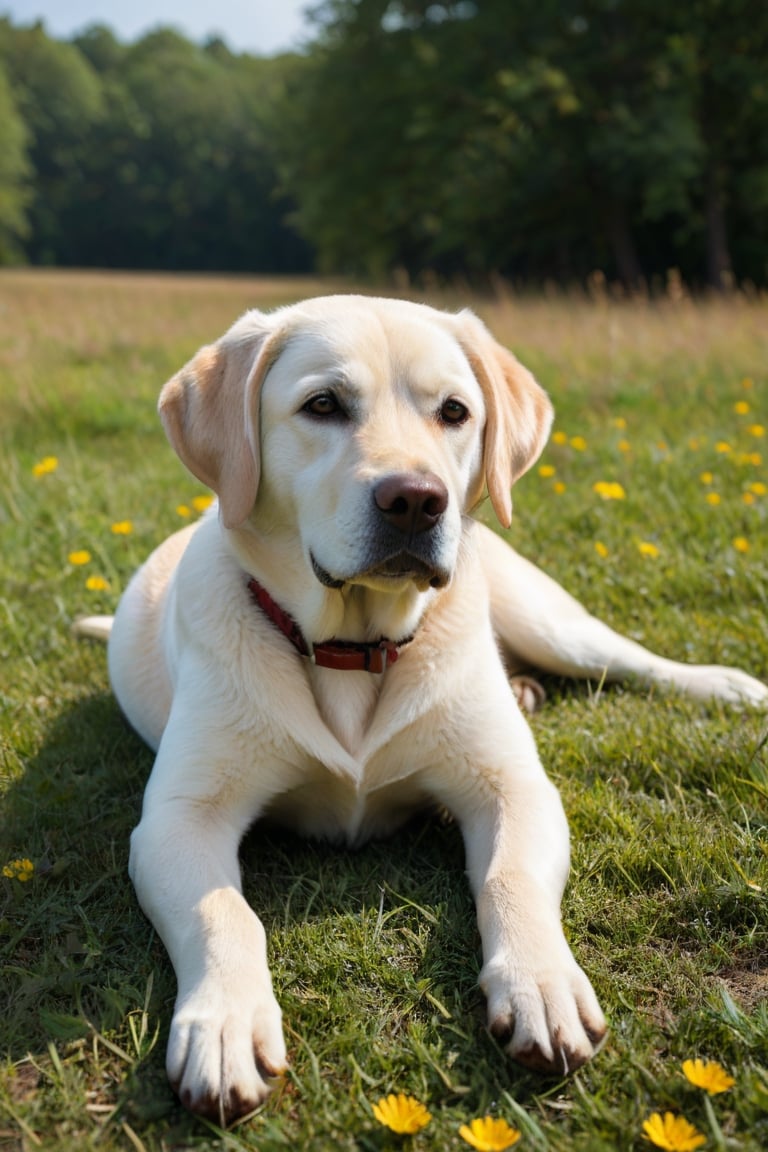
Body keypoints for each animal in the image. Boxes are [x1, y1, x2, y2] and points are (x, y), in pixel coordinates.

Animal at [76, 294, 764, 1124]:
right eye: (323, 405)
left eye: (454, 411)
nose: (415, 500)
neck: (353, 646)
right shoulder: (181, 819)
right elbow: (223, 913)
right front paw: (226, 1024)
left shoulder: (514, 789)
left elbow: (508, 878)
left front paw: (542, 984)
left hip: (550, 618)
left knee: (629, 660)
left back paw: (724, 684)